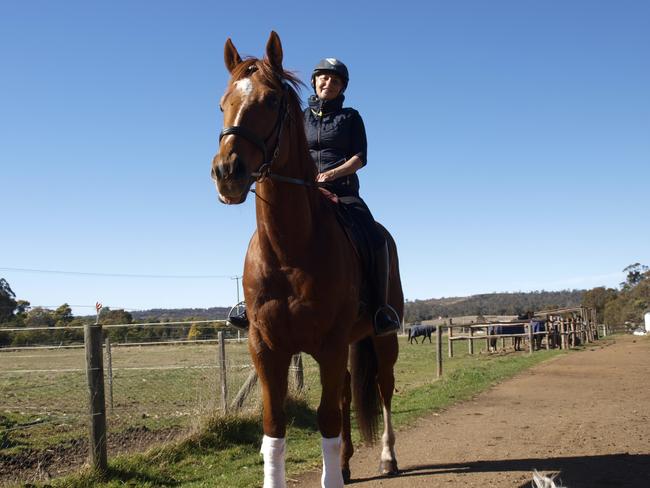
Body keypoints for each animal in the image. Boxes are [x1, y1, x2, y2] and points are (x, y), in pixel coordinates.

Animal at [210, 32, 402, 486]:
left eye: (270, 101)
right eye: (223, 102)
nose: (227, 172)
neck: (289, 250)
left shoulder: (329, 346)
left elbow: (326, 419)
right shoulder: (266, 348)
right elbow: (274, 426)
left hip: (382, 338)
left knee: (383, 390)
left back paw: (387, 457)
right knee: (349, 394)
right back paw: (347, 463)